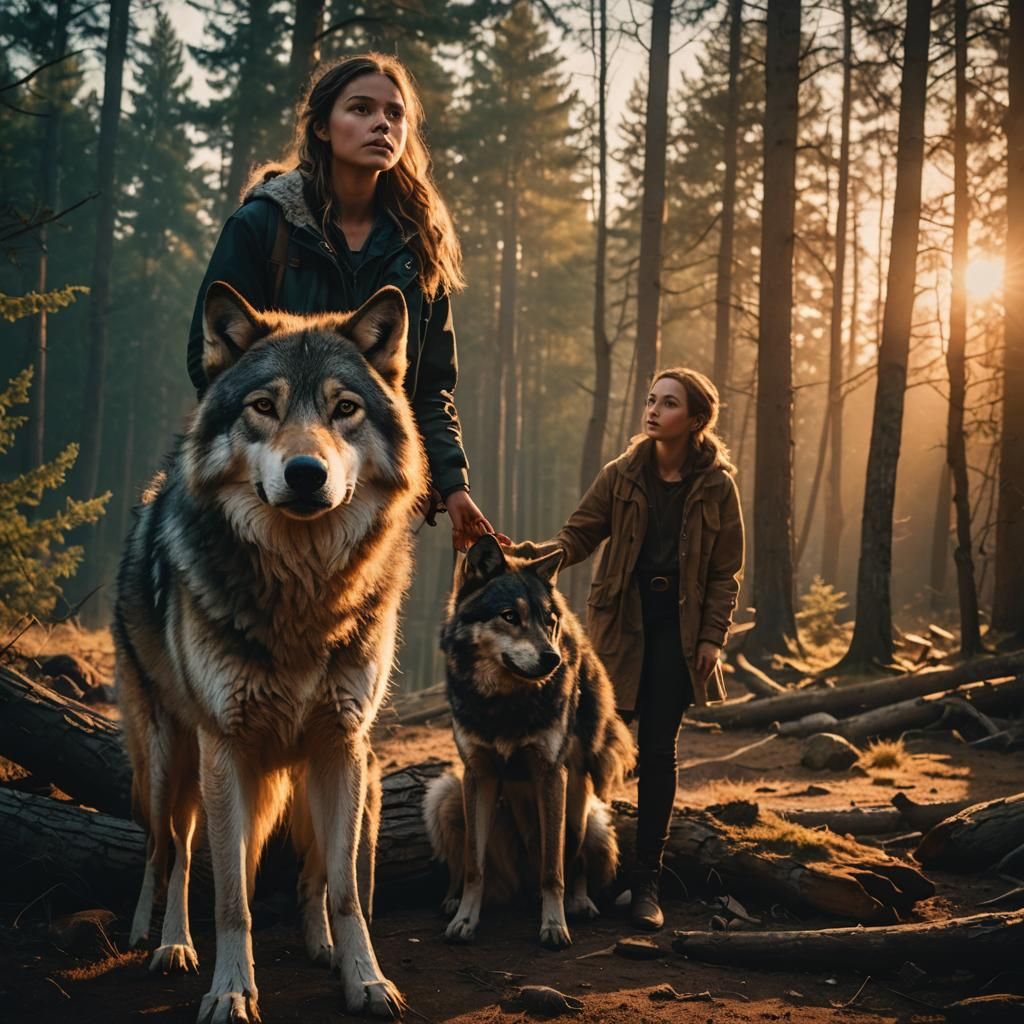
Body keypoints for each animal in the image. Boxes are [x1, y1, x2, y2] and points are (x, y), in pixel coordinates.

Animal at [114, 281, 425, 1022]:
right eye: (264, 407)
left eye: (344, 409)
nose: (306, 473)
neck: (302, 593)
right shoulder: (226, 747)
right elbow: (231, 895)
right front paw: (230, 989)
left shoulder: (343, 744)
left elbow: (344, 889)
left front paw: (364, 978)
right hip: (175, 759)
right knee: (171, 851)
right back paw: (164, 942)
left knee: (306, 867)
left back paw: (318, 945)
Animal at [424, 535, 636, 949]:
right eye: (509, 616)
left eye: (548, 621)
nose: (552, 659)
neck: (503, 703)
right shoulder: (478, 773)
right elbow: (474, 865)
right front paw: (465, 920)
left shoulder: (550, 773)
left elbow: (554, 868)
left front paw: (554, 926)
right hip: (446, 795)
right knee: (465, 866)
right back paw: (453, 900)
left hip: (582, 805)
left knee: (574, 860)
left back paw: (579, 903)